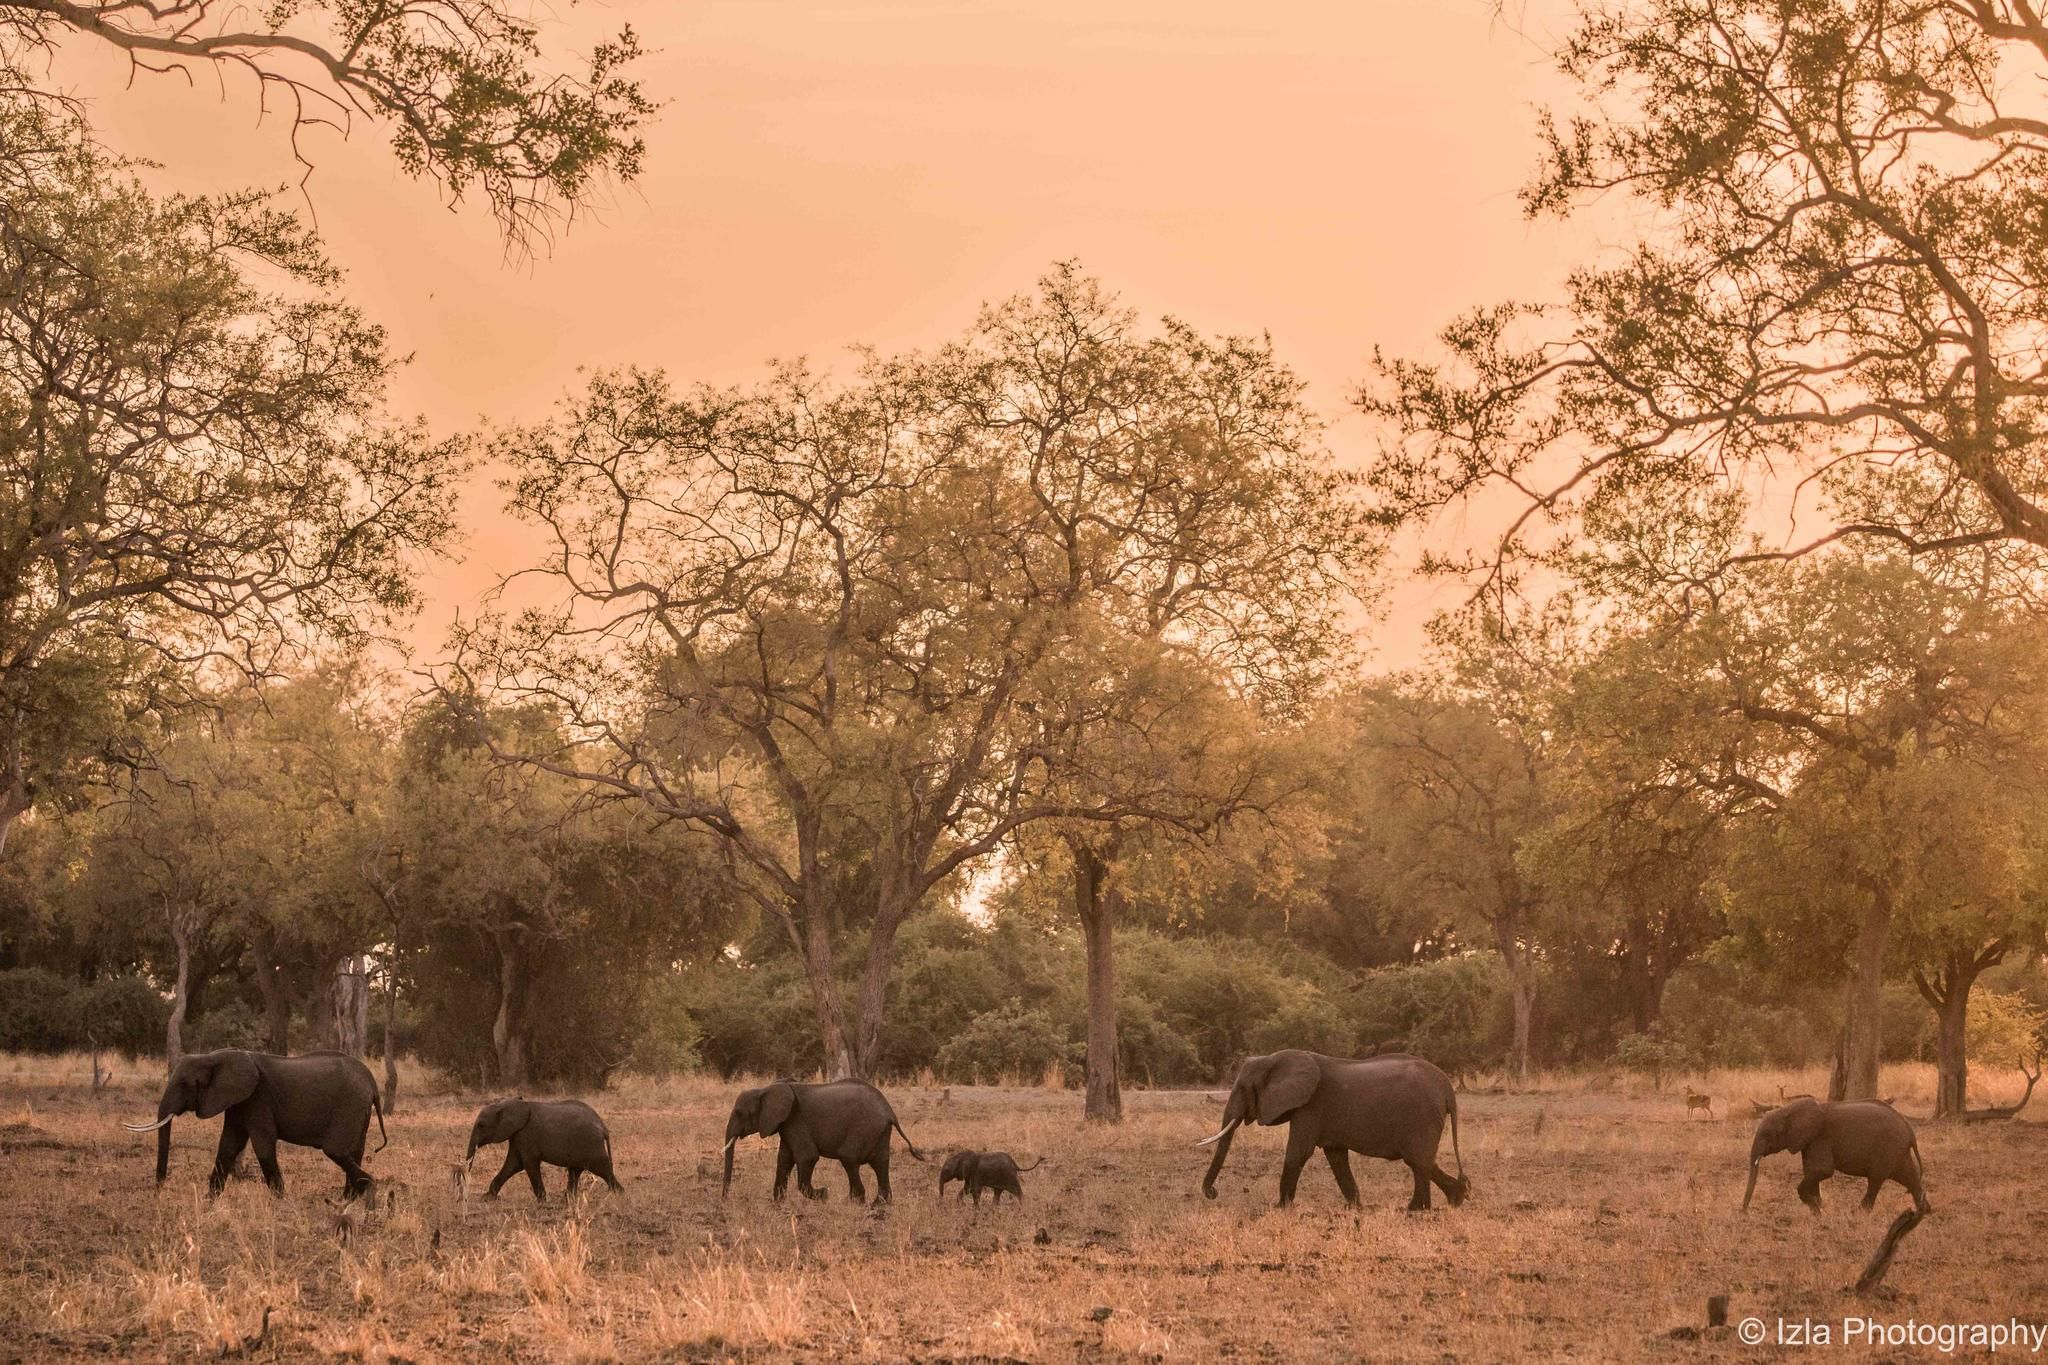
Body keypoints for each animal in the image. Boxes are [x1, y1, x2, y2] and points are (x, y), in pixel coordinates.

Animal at [125, 1049, 386, 1199]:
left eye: (184, 1084)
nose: (159, 1190)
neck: (213, 1056)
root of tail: (371, 1081)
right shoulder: (237, 1101)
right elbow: (227, 1147)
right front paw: (211, 1201)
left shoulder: (258, 1098)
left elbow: (263, 1146)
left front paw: (280, 1202)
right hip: (358, 1109)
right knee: (354, 1151)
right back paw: (350, 1199)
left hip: (350, 1105)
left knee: (336, 1151)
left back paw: (368, 1187)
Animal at [466, 1098, 623, 1201]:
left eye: (481, 1125)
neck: (508, 1104)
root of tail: (602, 1126)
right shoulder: (518, 1135)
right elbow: (514, 1164)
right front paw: (487, 1197)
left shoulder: (526, 1134)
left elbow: (528, 1163)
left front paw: (542, 1201)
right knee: (575, 1171)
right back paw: (568, 1199)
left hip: (591, 1145)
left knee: (602, 1168)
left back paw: (618, 1194)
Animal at [720, 1078, 924, 1203]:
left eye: (739, 1113)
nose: (725, 1200)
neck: (766, 1089)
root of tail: (890, 1111)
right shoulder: (786, 1126)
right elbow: (783, 1160)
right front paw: (779, 1205)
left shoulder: (797, 1121)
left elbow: (807, 1157)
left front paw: (824, 1194)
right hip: (880, 1132)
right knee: (881, 1164)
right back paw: (878, 1206)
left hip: (864, 1128)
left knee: (849, 1159)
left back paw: (854, 1203)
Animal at [1198, 1050, 1468, 1211]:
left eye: (1243, 1088)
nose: (1213, 1193)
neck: (1275, 1058)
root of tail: (1447, 1088)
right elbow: (1336, 1158)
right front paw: (1354, 1209)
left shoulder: (1310, 1106)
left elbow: (1297, 1153)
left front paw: (1280, 1208)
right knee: (1424, 1161)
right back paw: (1456, 1198)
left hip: (1422, 1116)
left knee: (1418, 1162)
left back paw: (1413, 1210)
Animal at [1743, 1097, 1928, 1214]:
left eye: (1767, 1135)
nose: (1744, 1212)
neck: (1788, 1110)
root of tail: (1910, 1130)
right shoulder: (1809, 1142)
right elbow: (1812, 1172)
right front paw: (1818, 1211)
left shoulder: (1820, 1138)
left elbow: (1821, 1171)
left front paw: (1818, 1208)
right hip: (1898, 1151)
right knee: (1910, 1178)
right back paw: (1924, 1213)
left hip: (1889, 1149)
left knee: (1875, 1180)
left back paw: (1858, 1214)